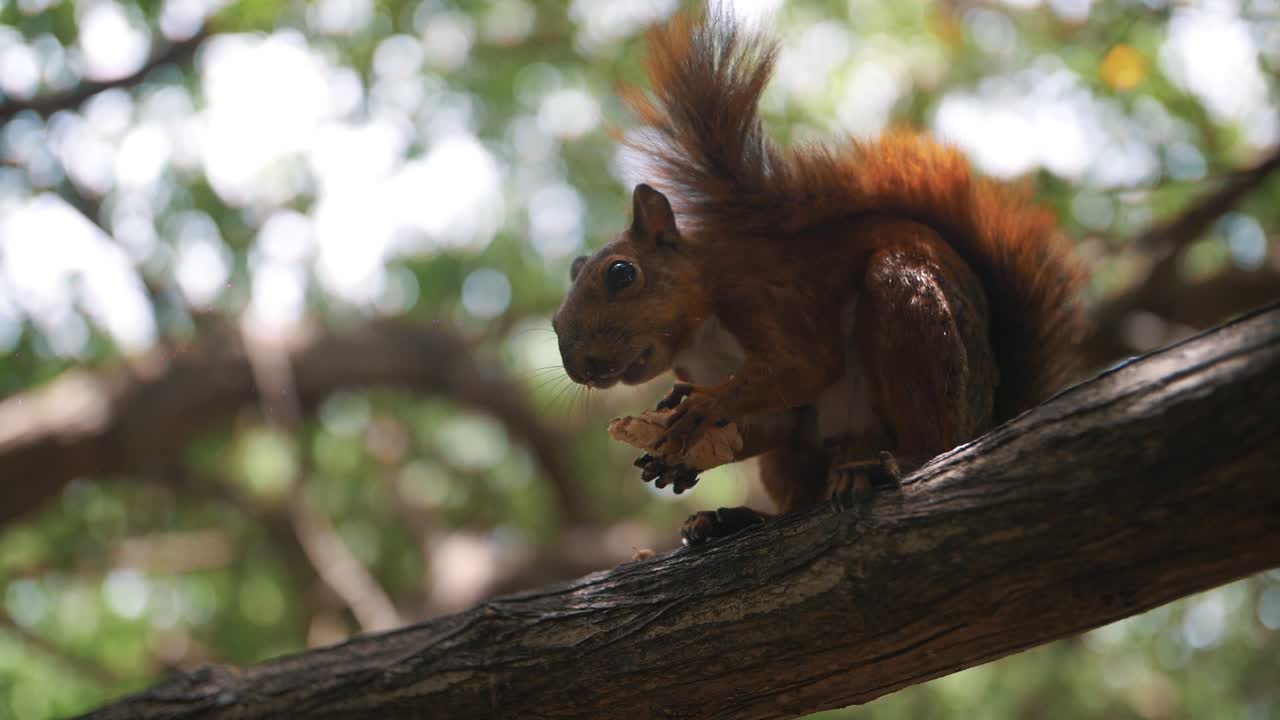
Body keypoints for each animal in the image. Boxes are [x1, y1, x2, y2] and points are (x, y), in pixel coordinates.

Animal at [552, 6, 1085, 545]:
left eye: (622, 274)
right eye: (554, 323)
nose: (582, 368)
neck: (701, 331)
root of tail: (988, 417)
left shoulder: (763, 292)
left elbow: (808, 363)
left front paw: (708, 405)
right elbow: (775, 421)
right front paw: (680, 458)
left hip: (913, 322)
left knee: (930, 436)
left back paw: (888, 464)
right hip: (805, 455)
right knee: (798, 489)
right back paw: (734, 519)